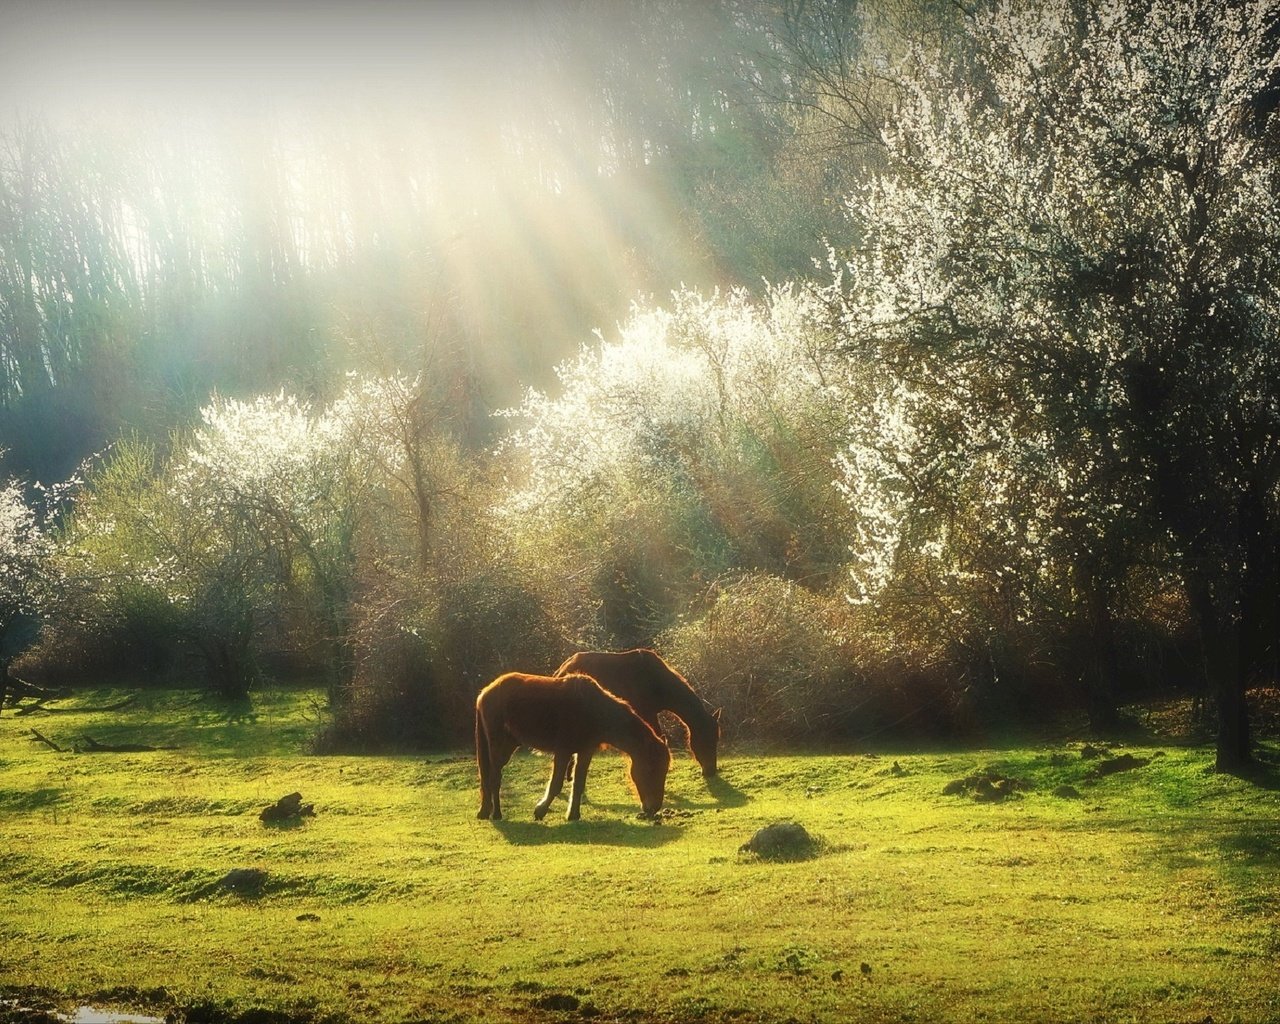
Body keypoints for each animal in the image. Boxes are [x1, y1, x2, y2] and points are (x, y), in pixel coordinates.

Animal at [473, 670, 670, 824]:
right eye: (652, 769)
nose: (654, 808)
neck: (593, 710)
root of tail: (485, 693)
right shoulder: (563, 752)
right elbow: (556, 784)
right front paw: (540, 810)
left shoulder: (585, 752)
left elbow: (579, 783)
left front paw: (573, 815)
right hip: (499, 747)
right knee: (494, 777)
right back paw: (496, 814)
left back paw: (486, 811)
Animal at [555, 647, 721, 778]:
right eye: (706, 740)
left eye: (717, 739)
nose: (711, 771)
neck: (656, 682)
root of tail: (561, 670)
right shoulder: (646, 714)